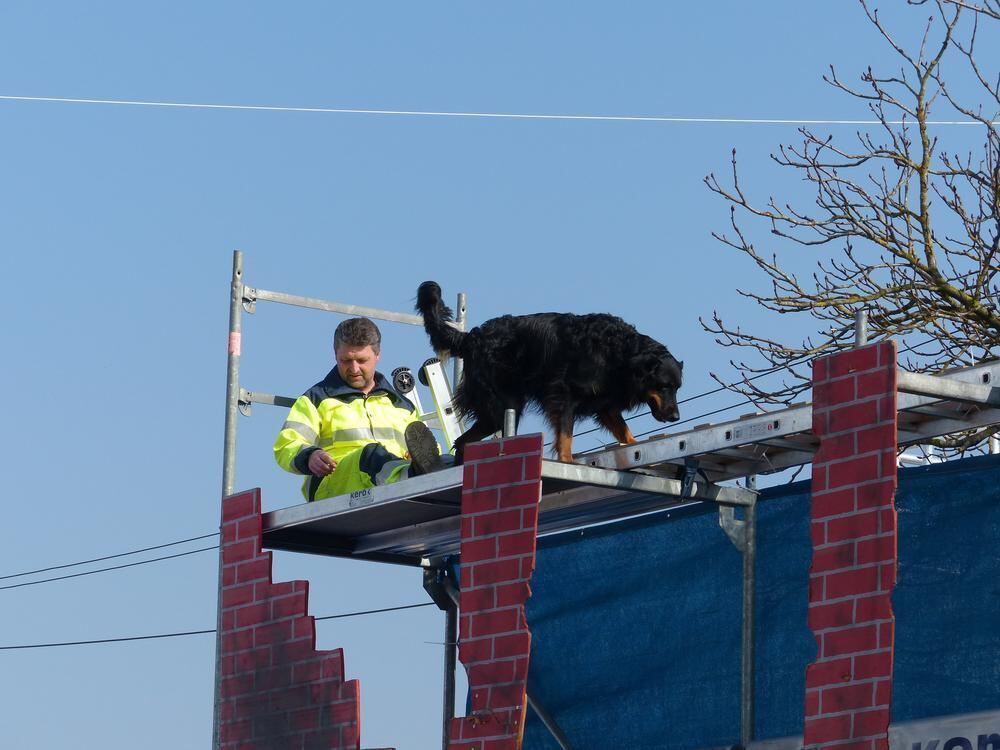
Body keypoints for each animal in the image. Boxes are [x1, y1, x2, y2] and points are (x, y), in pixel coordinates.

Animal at [412, 280, 680, 462]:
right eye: (664, 386)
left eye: (677, 388)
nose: (676, 417)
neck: (619, 353)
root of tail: (471, 337)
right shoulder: (564, 395)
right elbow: (566, 435)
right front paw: (568, 461)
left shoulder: (605, 405)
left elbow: (625, 432)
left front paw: (637, 447)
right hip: (504, 405)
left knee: (463, 441)